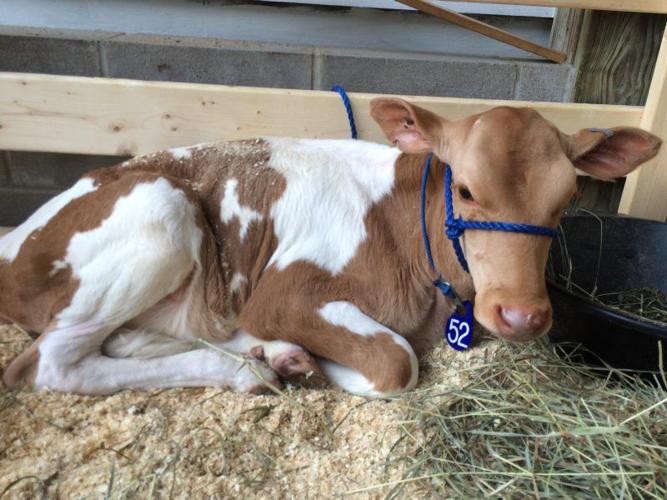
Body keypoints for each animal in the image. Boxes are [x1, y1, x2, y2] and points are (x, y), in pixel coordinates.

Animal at [0, 99, 661, 397]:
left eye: (566, 199)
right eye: (467, 189)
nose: (522, 314)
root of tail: (11, 240)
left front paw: (294, 356)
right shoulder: (281, 293)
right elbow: (396, 361)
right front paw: (321, 363)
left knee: (128, 340)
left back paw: (269, 356)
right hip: (160, 213)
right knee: (52, 364)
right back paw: (248, 368)